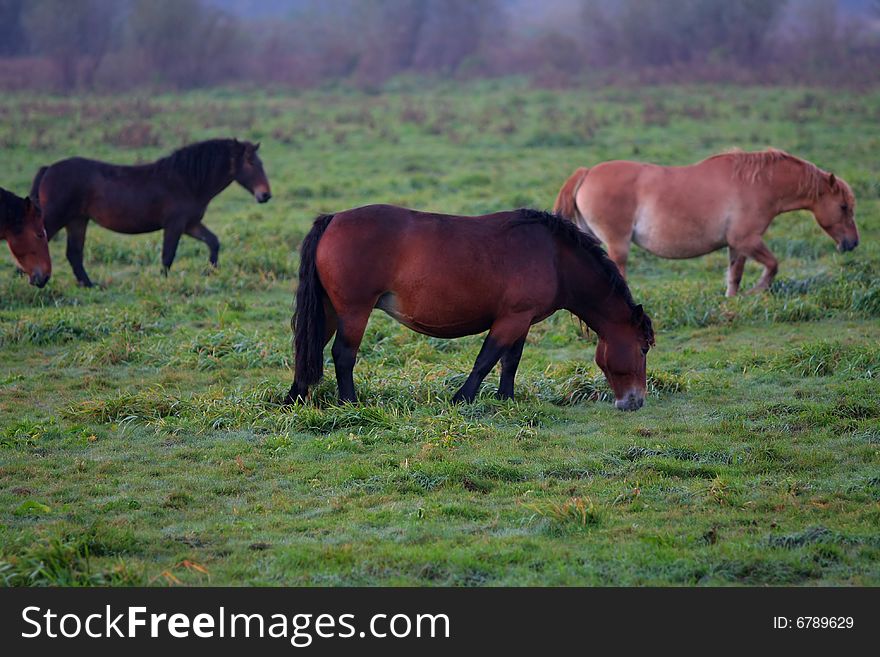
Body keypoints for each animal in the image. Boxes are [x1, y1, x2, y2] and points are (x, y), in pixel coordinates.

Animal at [30, 138, 272, 284]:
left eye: (260, 162)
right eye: (250, 162)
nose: (265, 195)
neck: (187, 181)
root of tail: (48, 169)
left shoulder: (191, 224)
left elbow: (213, 242)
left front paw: (210, 271)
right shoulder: (175, 225)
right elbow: (168, 255)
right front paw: (163, 281)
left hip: (77, 220)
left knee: (74, 254)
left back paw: (89, 285)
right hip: (56, 218)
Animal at [288, 205, 652, 410]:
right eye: (644, 347)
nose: (635, 402)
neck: (554, 256)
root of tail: (333, 219)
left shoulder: (522, 320)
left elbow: (509, 361)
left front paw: (506, 399)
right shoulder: (511, 320)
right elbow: (486, 360)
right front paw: (461, 399)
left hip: (329, 310)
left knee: (310, 349)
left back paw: (294, 398)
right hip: (353, 312)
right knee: (343, 354)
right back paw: (349, 403)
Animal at [556, 150, 860, 296]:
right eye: (843, 207)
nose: (852, 243)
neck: (757, 184)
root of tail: (587, 173)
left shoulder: (737, 245)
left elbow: (735, 274)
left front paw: (733, 301)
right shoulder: (746, 239)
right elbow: (773, 265)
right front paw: (756, 291)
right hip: (618, 244)